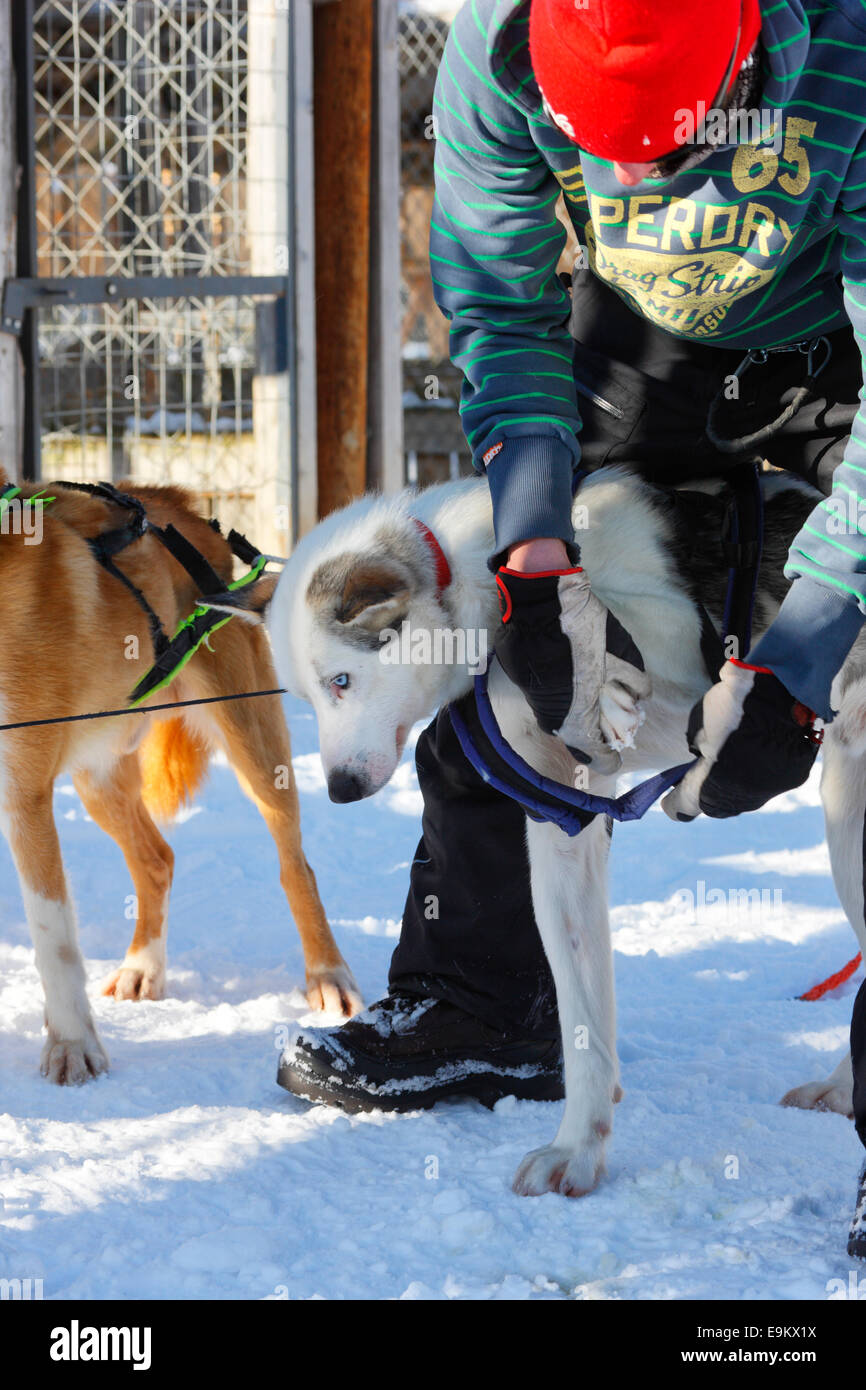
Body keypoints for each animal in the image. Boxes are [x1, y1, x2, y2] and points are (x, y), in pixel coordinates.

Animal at [0, 478, 361, 1084]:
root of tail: (180, 506)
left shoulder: (24, 794)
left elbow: (54, 939)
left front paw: (71, 1043)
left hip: (253, 742)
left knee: (295, 867)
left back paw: (328, 975)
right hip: (100, 779)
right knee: (156, 859)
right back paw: (142, 967)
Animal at [225, 467, 866, 1195]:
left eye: (342, 680)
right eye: (310, 697)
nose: (338, 788)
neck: (482, 585)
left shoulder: (678, 623)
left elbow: (651, 637)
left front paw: (614, 665)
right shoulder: (563, 815)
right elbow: (581, 1006)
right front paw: (580, 1146)